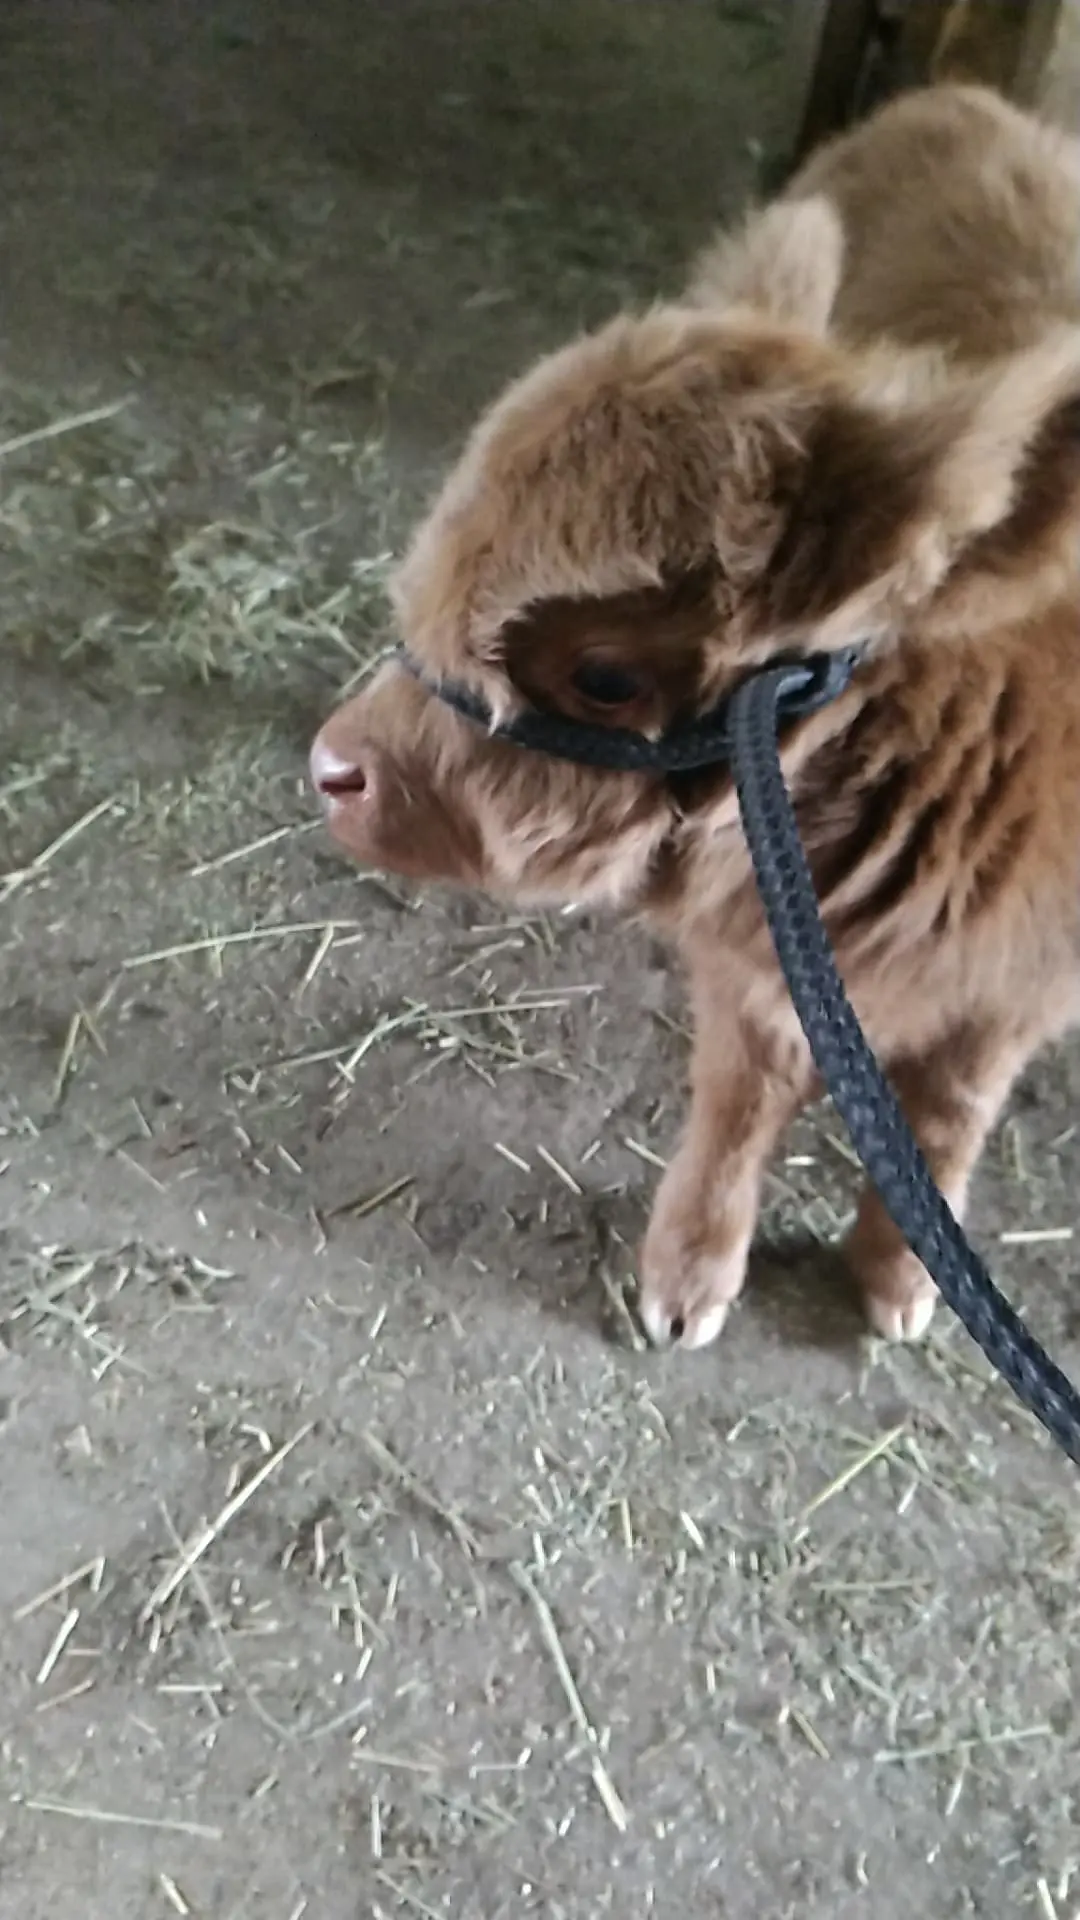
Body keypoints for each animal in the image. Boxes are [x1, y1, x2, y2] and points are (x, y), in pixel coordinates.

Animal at [311, 82, 1080, 1351]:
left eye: (607, 674)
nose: (335, 769)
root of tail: (965, 98)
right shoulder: (750, 950)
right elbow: (741, 1094)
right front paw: (687, 1281)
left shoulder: (1019, 987)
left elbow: (950, 1116)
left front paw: (900, 1283)